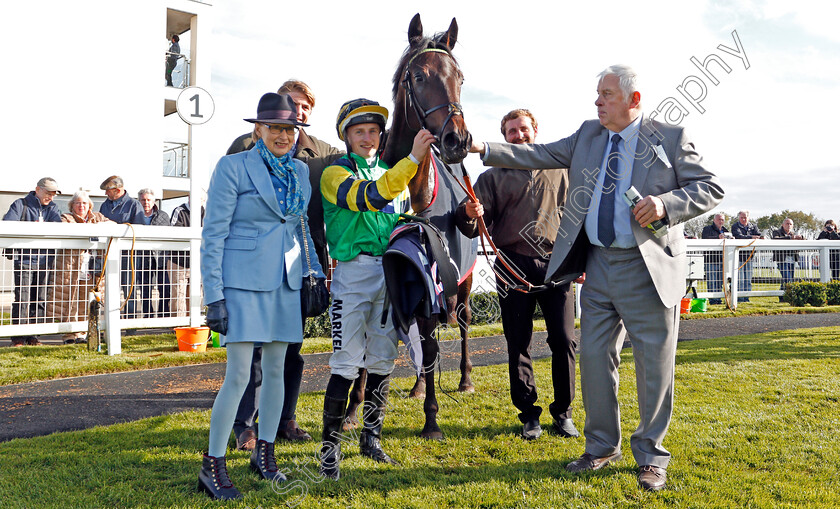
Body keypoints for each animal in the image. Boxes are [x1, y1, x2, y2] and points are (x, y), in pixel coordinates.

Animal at [342, 13, 476, 438]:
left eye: (460, 77)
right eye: (418, 76)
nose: (457, 139)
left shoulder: (432, 270)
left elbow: (431, 343)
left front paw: (432, 419)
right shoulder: (398, 275)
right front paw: (354, 409)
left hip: (464, 279)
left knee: (462, 320)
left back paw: (464, 379)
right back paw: (417, 386)